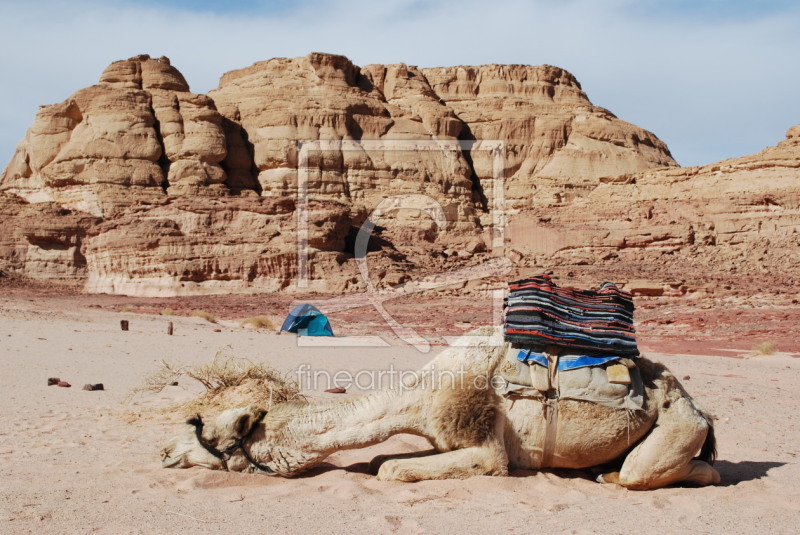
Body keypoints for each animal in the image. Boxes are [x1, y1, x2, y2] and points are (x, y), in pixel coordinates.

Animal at [161, 326, 720, 490]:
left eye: (206, 431)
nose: (164, 452)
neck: (419, 396)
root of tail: (694, 404)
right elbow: (380, 460)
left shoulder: (486, 447)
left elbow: (388, 468)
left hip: (677, 425)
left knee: (650, 472)